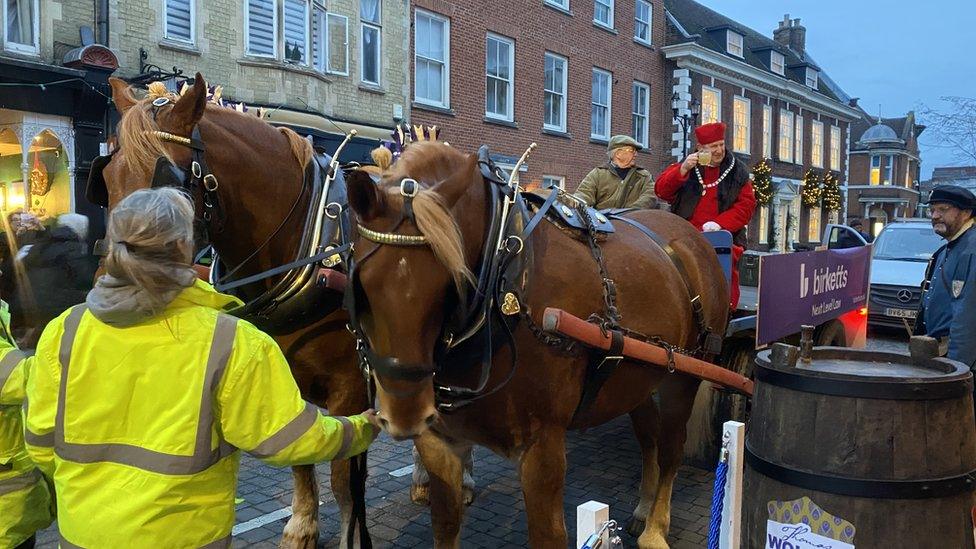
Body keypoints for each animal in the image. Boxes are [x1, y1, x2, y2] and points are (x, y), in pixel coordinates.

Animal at [346, 140, 728, 544]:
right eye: (361, 285)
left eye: (452, 280)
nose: (405, 414)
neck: (508, 272)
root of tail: (692, 235)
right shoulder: (439, 441)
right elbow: (445, 526)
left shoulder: (542, 446)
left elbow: (548, 535)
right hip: (637, 377)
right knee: (649, 437)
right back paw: (642, 508)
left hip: (684, 374)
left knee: (671, 446)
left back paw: (655, 529)